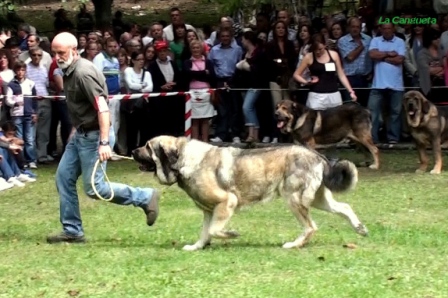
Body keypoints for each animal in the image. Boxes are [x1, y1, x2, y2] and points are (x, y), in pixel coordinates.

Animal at [131, 136, 370, 250]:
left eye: (148, 147)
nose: (132, 151)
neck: (183, 159)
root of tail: (317, 155)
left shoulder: (227, 201)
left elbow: (215, 230)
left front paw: (231, 234)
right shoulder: (208, 211)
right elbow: (205, 232)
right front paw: (197, 247)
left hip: (294, 198)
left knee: (311, 227)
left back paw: (294, 244)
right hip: (317, 199)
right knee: (344, 207)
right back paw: (360, 228)